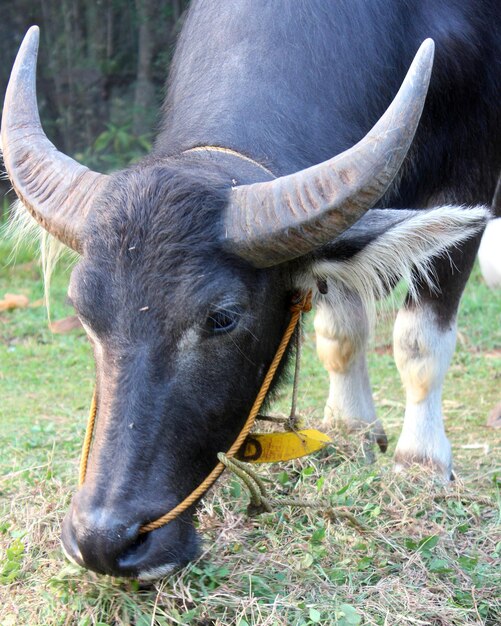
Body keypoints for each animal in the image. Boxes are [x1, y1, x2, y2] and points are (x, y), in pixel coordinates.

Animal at [1, 0, 498, 576]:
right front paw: (351, 428)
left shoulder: (472, 170)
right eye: (83, 312)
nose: (103, 540)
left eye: (221, 318)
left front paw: (421, 461)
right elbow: (340, 330)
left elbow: (419, 339)